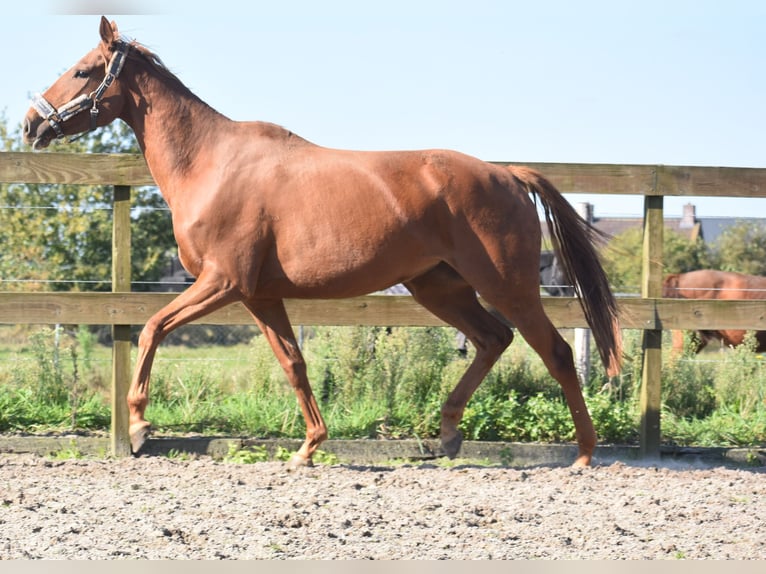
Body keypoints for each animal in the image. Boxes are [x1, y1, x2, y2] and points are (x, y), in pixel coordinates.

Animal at [22, 16, 624, 468]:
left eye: (82, 71)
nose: (31, 124)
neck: (210, 165)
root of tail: (509, 174)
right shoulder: (259, 295)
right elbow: (294, 363)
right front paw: (309, 447)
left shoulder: (223, 282)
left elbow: (150, 328)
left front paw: (140, 426)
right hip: (439, 287)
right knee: (493, 340)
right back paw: (449, 433)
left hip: (504, 285)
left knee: (554, 351)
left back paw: (583, 454)